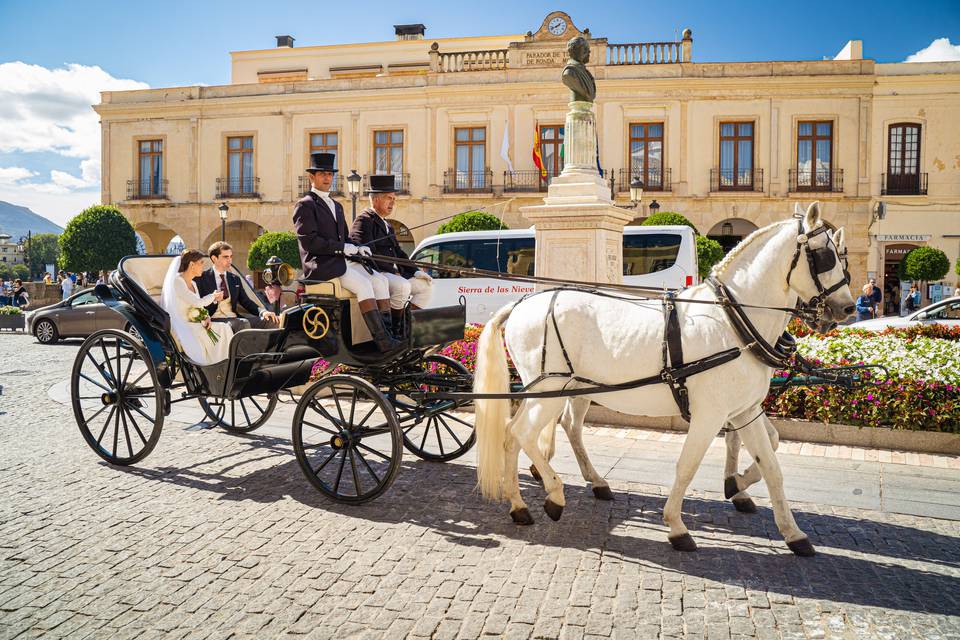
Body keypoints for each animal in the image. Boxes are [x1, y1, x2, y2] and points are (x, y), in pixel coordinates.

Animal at [472, 204, 856, 556]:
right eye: (824, 256)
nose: (848, 308)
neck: (731, 321)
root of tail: (522, 303)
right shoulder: (710, 415)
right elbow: (687, 466)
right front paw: (676, 525)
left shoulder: (745, 411)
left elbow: (772, 466)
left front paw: (789, 529)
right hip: (548, 390)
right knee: (522, 433)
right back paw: (554, 494)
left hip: (560, 390)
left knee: (521, 433)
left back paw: (521, 504)